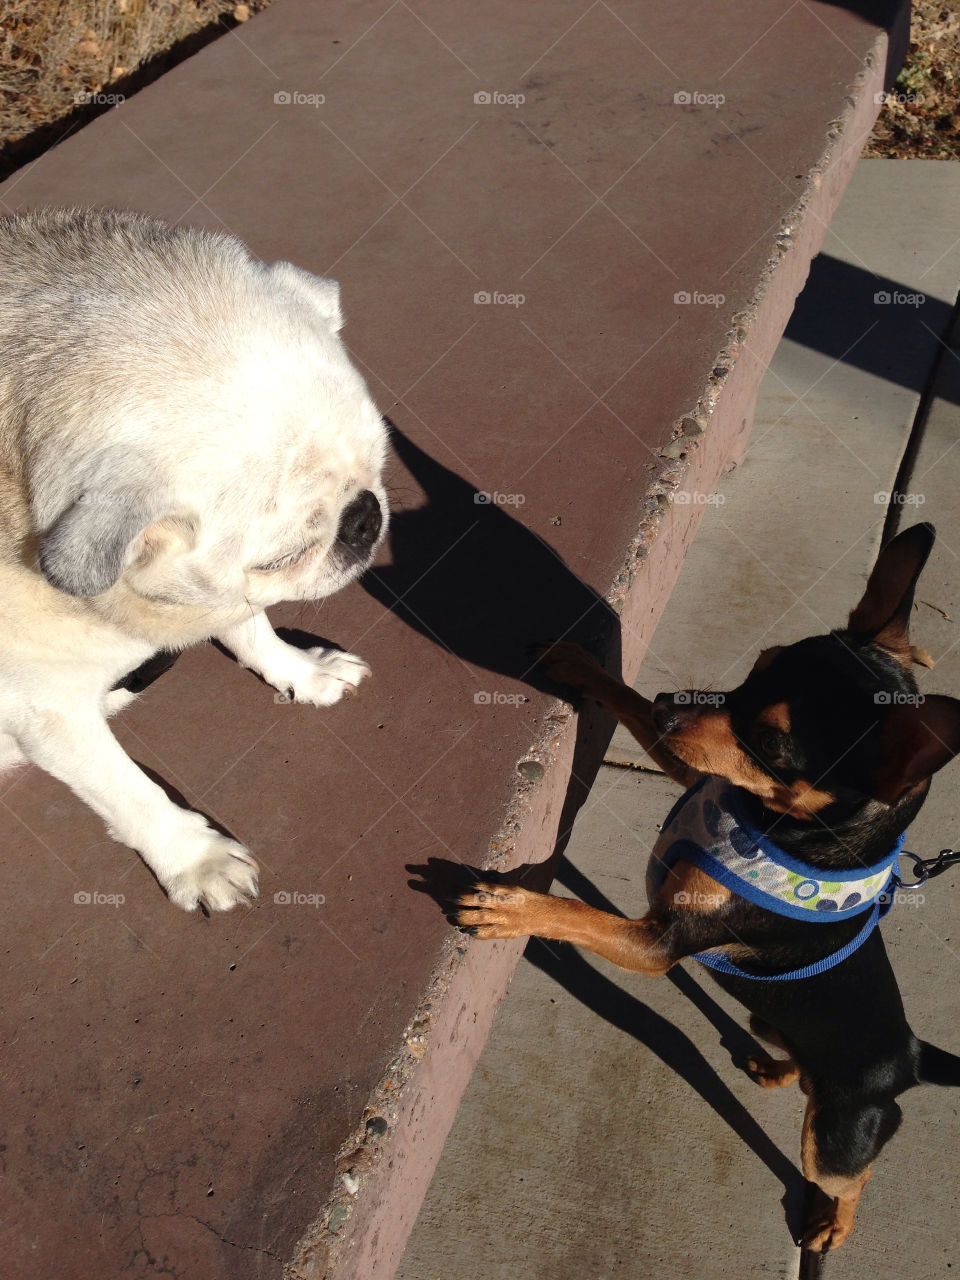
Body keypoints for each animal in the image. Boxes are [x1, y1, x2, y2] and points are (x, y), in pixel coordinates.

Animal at [0, 207, 391, 911]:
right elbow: (127, 791)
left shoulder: (218, 588)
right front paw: (192, 857)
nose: (364, 518)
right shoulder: (46, 712)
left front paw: (299, 670)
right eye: (285, 555)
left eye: (378, 466)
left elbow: (250, 630)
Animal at [455, 519, 960, 1249]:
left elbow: (577, 913)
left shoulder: (655, 944)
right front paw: (580, 666)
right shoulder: (690, 764)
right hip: (768, 1018)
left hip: (837, 1139)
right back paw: (777, 1068)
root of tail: (911, 1057)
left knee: (848, 1175)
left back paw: (833, 1225)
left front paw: (511, 907)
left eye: (772, 745)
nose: (673, 706)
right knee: (791, 1062)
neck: (768, 827)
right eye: (758, 664)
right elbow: (630, 704)